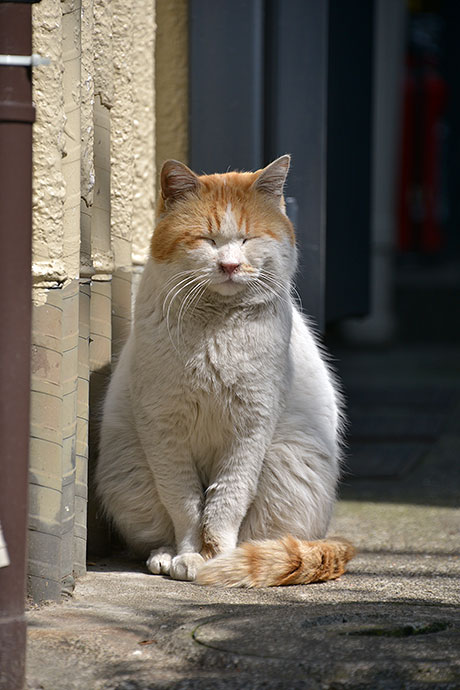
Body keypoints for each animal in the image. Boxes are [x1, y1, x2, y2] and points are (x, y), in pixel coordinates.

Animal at [96, 157, 356, 584]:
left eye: (248, 239)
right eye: (208, 240)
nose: (230, 264)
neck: (216, 328)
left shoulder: (250, 429)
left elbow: (226, 502)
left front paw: (216, 559)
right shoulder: (164, 428)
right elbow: (184, 504)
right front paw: (188, 556)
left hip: (288, 461)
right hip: (129, 466)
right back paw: (164, 556)